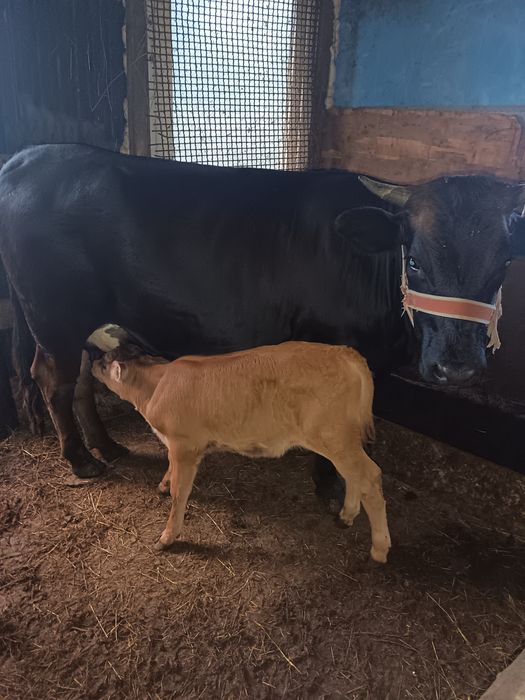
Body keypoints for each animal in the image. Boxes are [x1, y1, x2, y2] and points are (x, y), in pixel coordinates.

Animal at [0, 144, 523, 506]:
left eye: (501, 268)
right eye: (413, 260)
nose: (457, 367)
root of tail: (30, 155)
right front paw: (330, 485)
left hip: (81, 323)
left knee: (82, 381)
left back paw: (108, 447)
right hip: (56, 315)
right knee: (52, 379)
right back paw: (82, 461)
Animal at [92, 342, 392, 563]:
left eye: (105, 362)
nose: (92, 362)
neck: (155, 386)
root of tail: (346, 353)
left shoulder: (184, 445)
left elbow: (180, 492)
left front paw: (167, 536)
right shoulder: (176, 446)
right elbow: (170, 469)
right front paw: (163, 484)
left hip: (334, 436)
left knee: (370, 476)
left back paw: (379, 548)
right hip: (342, 440)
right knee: (355, 476)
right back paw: (346, 515)